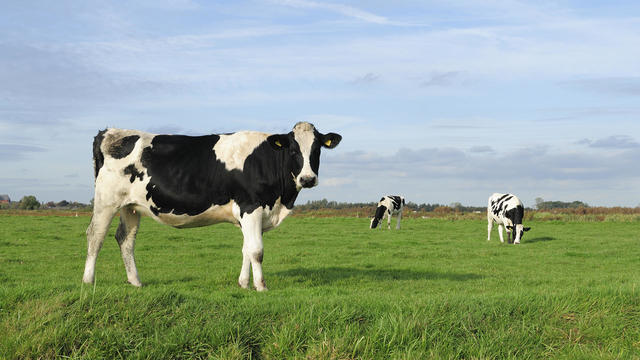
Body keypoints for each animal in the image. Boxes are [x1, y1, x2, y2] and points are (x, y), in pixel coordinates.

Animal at [83, 122, 342, 292]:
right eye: (293, 150)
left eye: (317, 149)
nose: (307, 179)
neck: (280, 200)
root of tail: (110, 132)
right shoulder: (251, 207)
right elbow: (256, 251)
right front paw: (261, 286)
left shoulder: (248, 215)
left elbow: (246, 249)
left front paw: (243, 284)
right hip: (106, 201)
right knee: (95, 236)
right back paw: (88, 281)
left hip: (131, 206)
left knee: (125, 239)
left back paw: (135, 282)